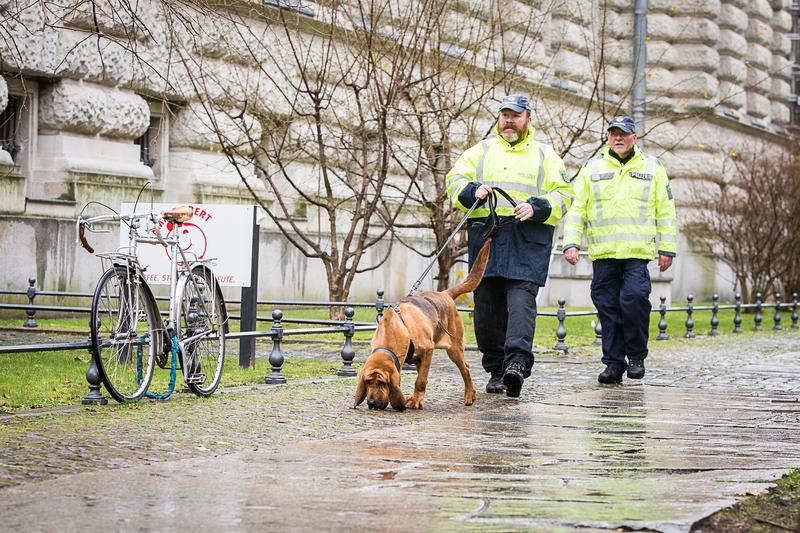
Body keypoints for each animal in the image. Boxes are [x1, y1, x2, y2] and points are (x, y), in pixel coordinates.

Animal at [354, 239, 490, 410]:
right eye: (367, 382)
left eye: (381, 383)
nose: (371, 403)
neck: (394, 329)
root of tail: (444, 294)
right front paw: (412, 398)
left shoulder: (428, 351)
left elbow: (421, 380)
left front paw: (416, 400)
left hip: (454, 349)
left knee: (465, 368)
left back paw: (469, 395)